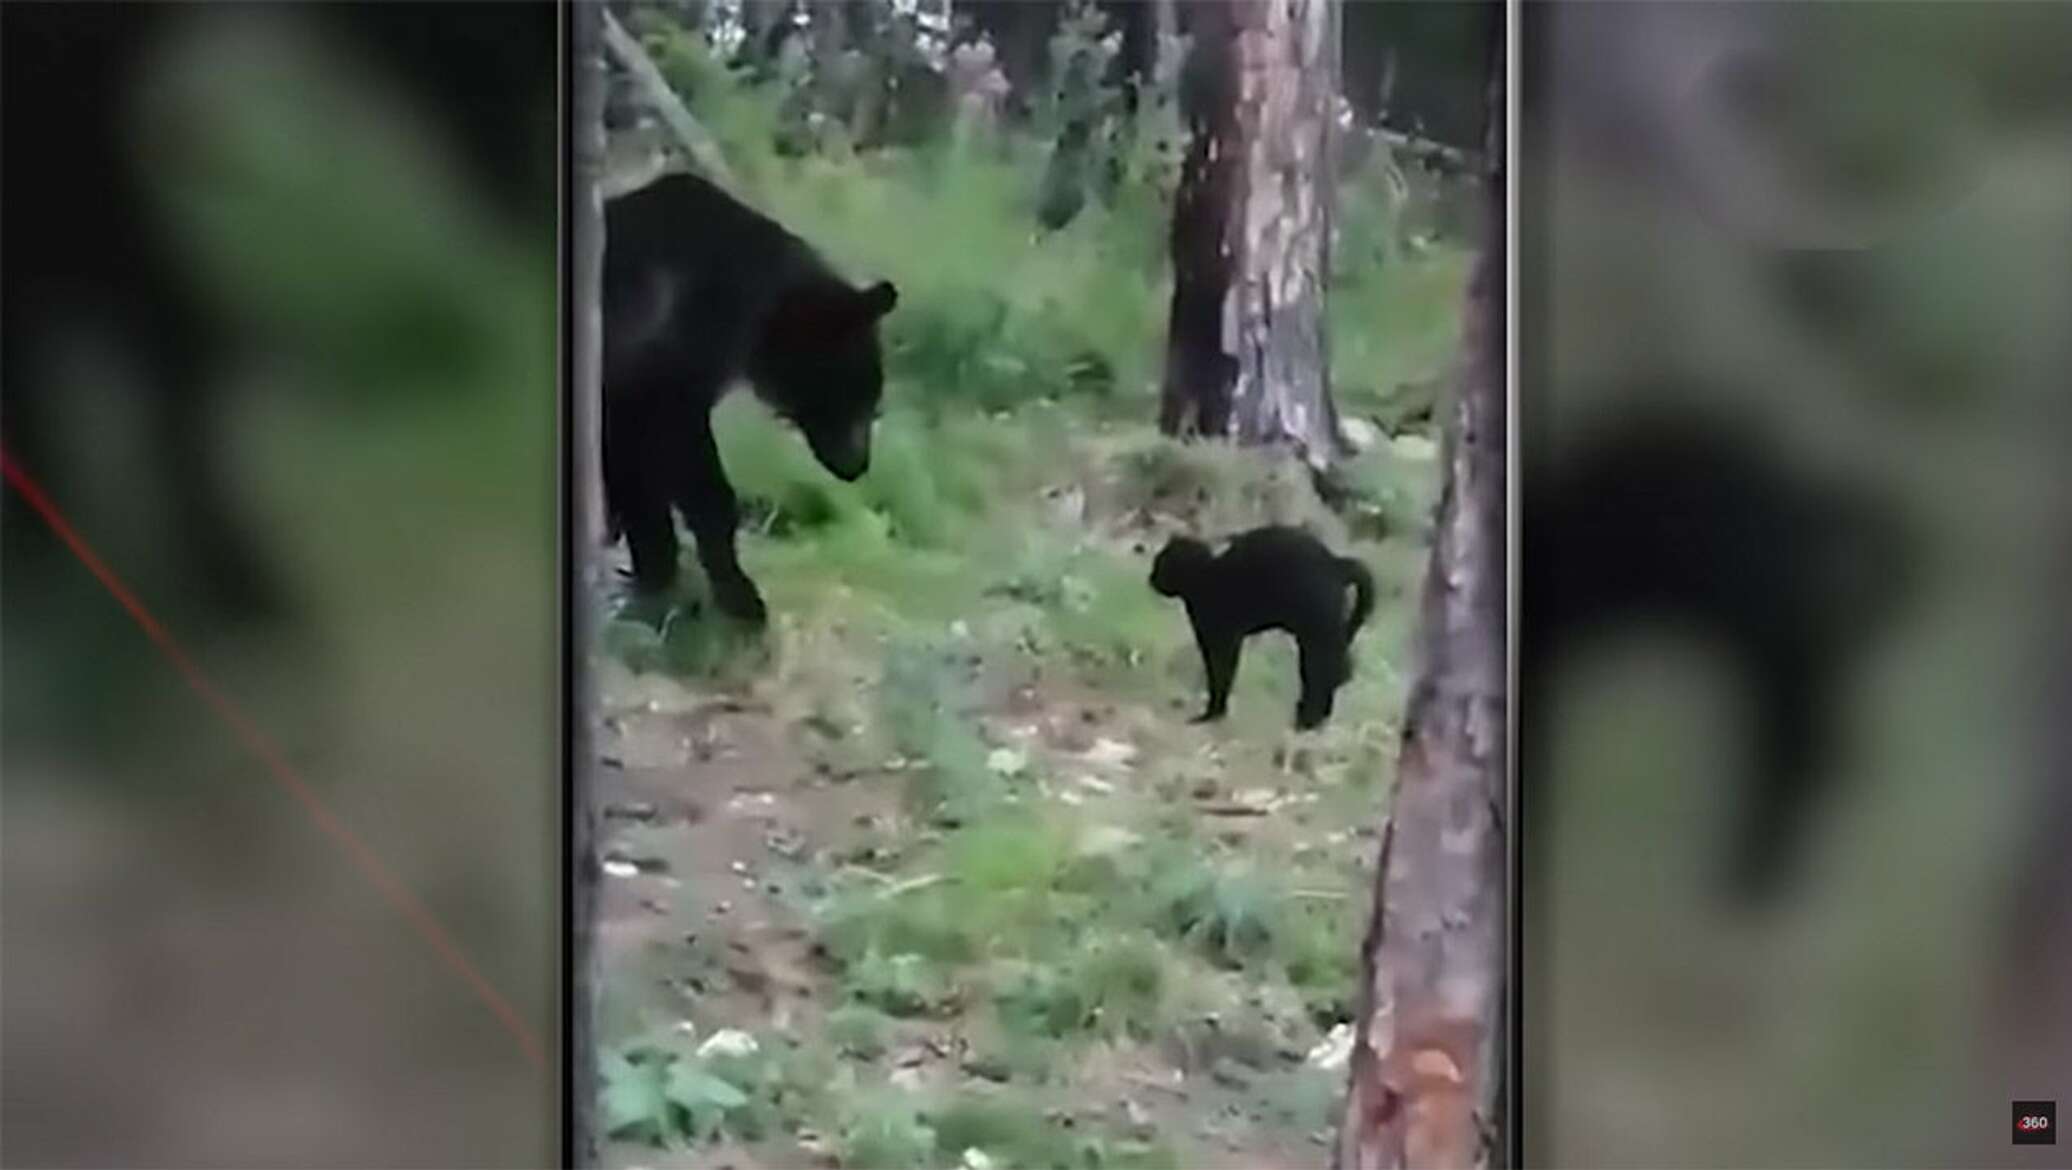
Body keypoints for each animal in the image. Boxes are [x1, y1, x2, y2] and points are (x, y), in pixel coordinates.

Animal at [600, 170, 890, 621]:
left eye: (872, 395)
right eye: (855, 394)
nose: (857, 465)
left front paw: (653, 571)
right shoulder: (659, 371)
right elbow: (690, 473)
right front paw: (738, 594)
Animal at [1152, 525, 1375, 728]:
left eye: (1160, 563)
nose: (1151, 578)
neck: (1204, 579)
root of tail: (1335, 561)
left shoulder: (1222, 640)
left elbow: (1220, 674)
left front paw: (1213, 713)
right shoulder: (1221, 641)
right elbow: (1220, 673)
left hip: (1317, 633)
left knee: (1327, 671)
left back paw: (1308, 720)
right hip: (1316, 636)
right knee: (1331, 671)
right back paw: (1313, 716)